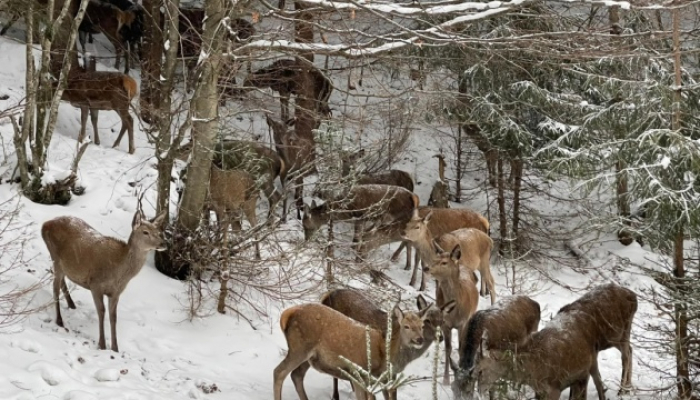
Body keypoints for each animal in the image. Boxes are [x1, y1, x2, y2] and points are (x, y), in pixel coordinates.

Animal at [41, 208, 167, 352]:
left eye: (158, 232)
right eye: (145, 232)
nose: (164, 243)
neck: (119, 274)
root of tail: (45, 224)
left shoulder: (116, 293)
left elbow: (113, 317)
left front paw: (115, 348)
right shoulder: (95, 285)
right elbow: (101, 312)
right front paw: (102, 344)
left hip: (62, 264)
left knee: (61, 281)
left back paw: (71, 304)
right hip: (55, 257)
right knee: (55, 287)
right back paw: (59, 320)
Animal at [272, 304, 426, 400]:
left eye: (422, 326)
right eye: (406, 326)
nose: (420, 339)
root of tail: (286, 314)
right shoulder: (360, 374)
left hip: (309, 356)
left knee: (296, 375)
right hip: (300, 347)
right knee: (279, 372)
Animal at [322, 290, 456, 400]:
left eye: (442, 321)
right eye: (427, 321)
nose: (440, 337)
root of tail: (326, 296)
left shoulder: (393, 373)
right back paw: (336, 396)